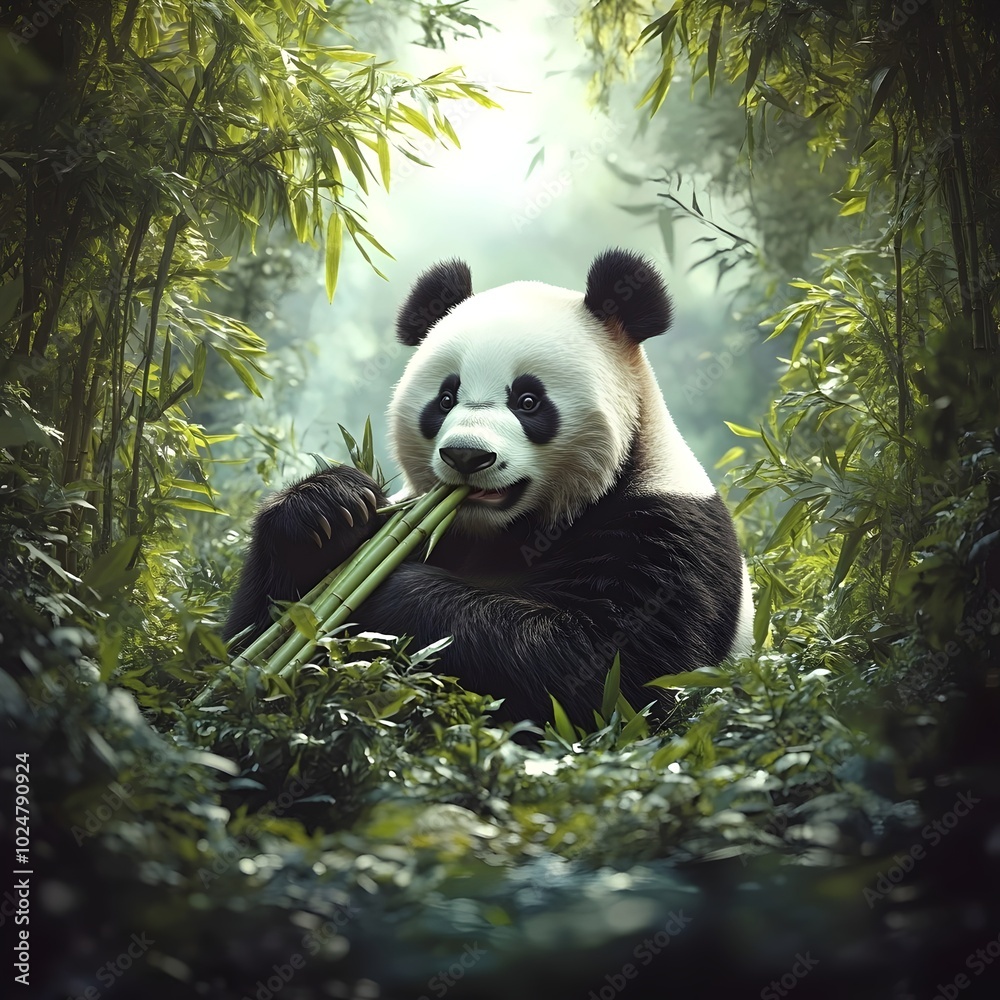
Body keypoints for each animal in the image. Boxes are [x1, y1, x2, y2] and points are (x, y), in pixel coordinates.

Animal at [224, 248, 754, 726]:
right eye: (445, 398)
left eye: (528, 400)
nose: (466, 456)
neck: (507, 529)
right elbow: (247, 635)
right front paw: (328, 511)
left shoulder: (665, 533)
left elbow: (608, 669)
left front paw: (390, 587)